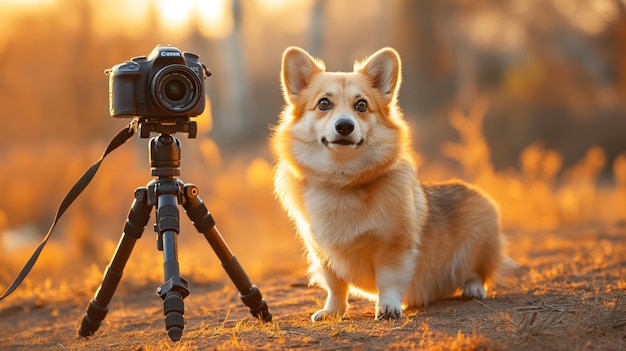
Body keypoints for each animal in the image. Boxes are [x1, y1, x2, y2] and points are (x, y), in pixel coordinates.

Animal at [270, 46, 504, 322]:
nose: (345, 126)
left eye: (361, 105)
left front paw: (388, 307)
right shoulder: (323, 253)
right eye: (323, 103)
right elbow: (335, 286)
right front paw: (332, 311)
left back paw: (473, 288)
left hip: (480, 240)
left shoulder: (393, 247)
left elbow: (388, 281)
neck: (341, 180)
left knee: (477, 273)